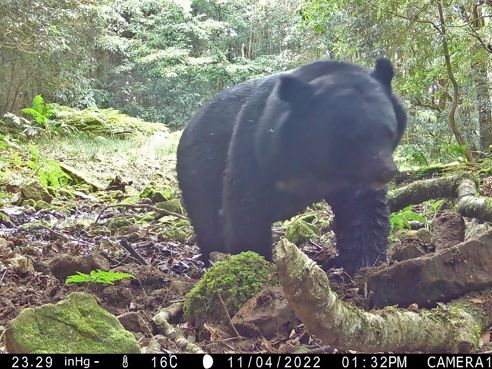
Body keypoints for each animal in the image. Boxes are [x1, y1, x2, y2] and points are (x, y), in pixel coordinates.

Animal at [177, 56, 408, 270]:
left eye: (389, 132)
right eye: (351, 139)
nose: (385, 171)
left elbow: (364, 209)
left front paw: (366, 263)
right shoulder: (255, 150)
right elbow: (246, 209)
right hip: (198, 172)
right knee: (207, 220)